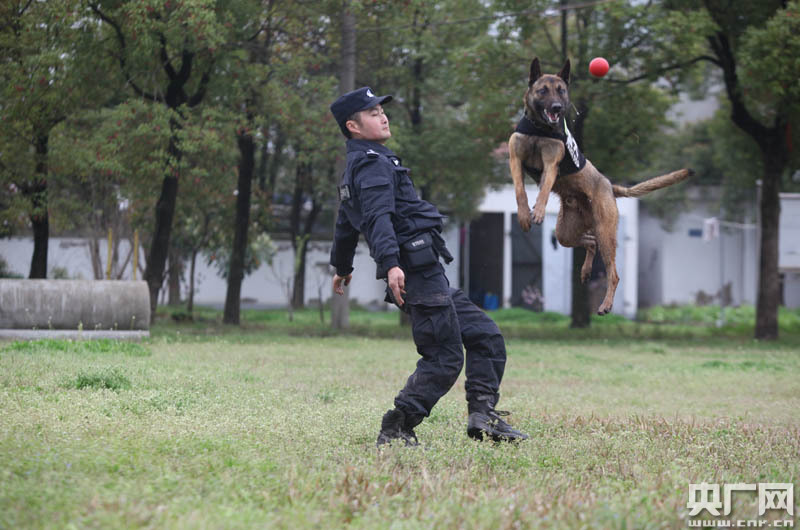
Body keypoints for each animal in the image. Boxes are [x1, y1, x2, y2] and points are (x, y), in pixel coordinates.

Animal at [512, 57, 692, 314]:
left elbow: (545, 189)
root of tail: (610, 187)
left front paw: (537, 210)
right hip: (566, 232)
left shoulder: (551, 164)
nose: (557, 107)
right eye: (543, 90)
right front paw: (525, 214)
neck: (540, 128)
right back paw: (586, 270)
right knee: (590, 242)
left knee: (613, 272)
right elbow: (519, 190)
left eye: (562, 90)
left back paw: (606, 304)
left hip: (605, 232)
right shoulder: (515, 158)